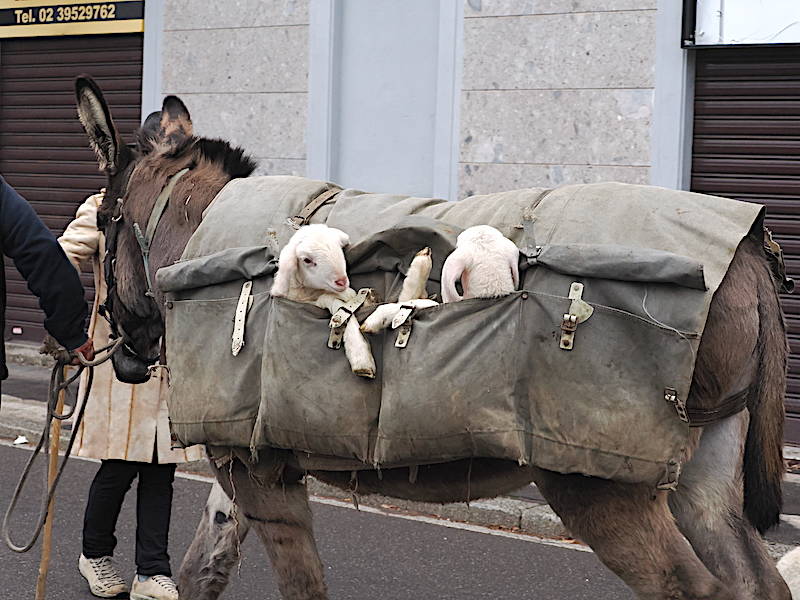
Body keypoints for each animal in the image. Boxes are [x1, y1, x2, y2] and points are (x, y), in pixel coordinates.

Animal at [270, 223, 376, 378]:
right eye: (307, 260)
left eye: (339, 247)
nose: (342, 281)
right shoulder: (308, 301)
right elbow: (336, 303)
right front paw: (361, 358)